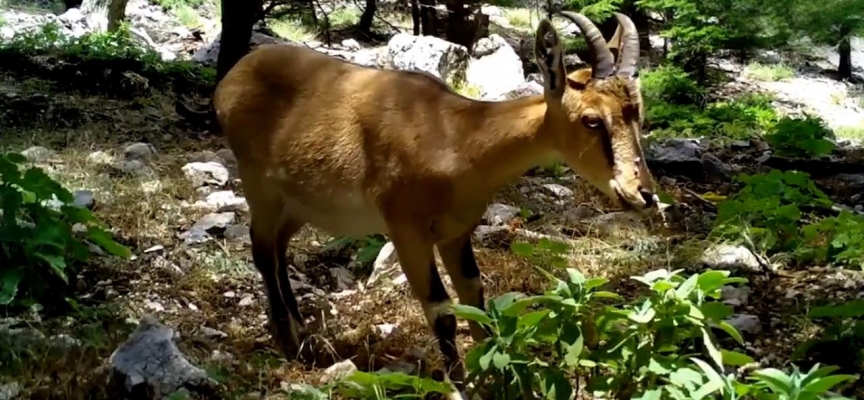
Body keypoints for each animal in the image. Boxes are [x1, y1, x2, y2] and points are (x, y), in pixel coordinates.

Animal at [214, 12, 656, 384]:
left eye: (638, 111)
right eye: (592, 120)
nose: (643, 193)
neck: (456, 139)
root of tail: (229, 81)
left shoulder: (455, 232)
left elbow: (475, 299)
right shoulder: (406, 228)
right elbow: (441, 311)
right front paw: (461, 385)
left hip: (299, 202)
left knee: (279, 248)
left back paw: (302, 332)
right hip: (259, 186)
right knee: (261, 249)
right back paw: (287, 339)